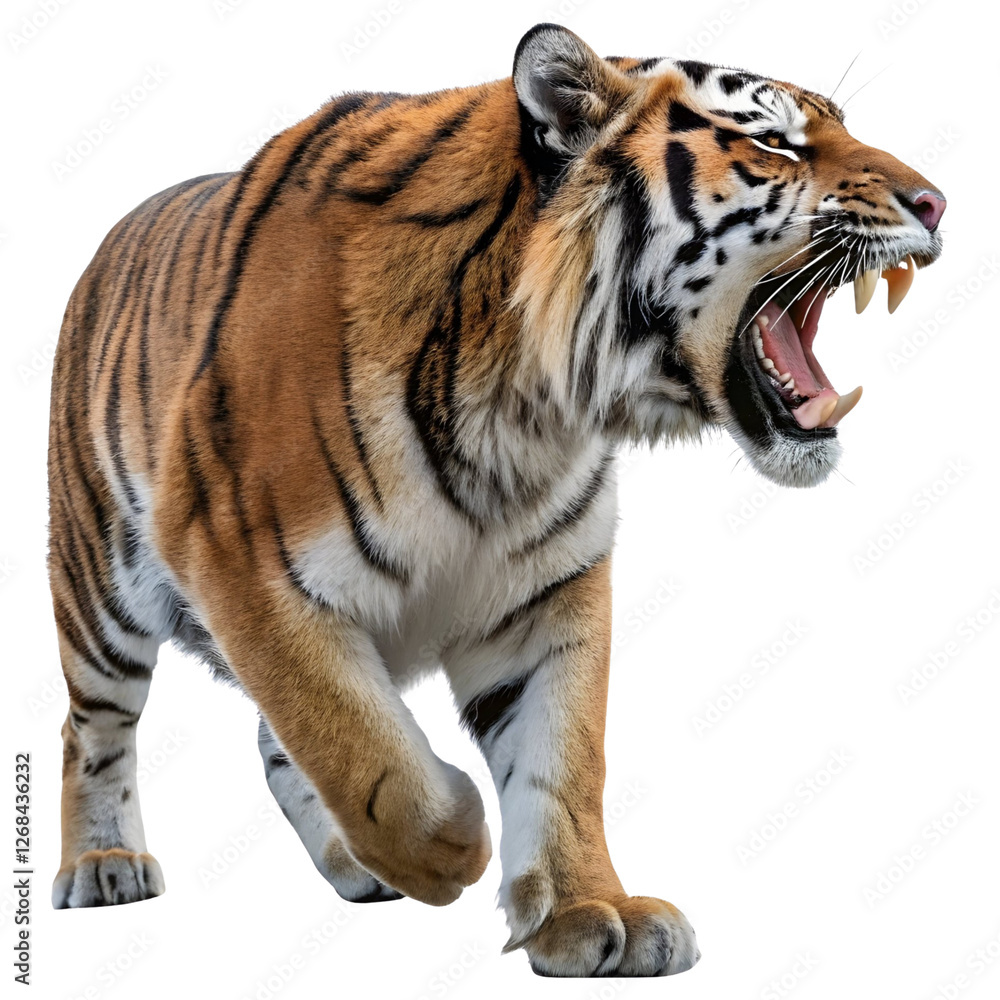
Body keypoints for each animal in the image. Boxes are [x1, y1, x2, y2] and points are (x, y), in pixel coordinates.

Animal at [47, 22, 945, 977]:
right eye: (775, 142)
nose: (937, 204)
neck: (526, 406)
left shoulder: (551, 589)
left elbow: (563, 758)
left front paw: (591, 909)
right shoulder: (238, 558)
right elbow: (355, 740)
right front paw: (453, 842)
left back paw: (352, 865)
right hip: (99, 593)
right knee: (92, 730)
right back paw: (106, 865)